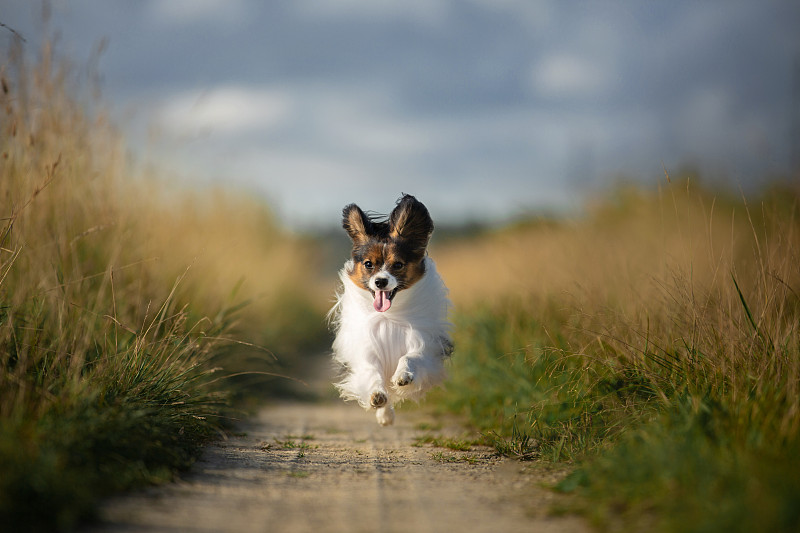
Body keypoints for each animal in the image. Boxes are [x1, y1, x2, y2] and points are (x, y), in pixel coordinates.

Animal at [328, 194, 454, 424]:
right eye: (369, 264)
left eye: (398, 265)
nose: (380, 281)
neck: (389, 314)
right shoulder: (366, 349)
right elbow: (372, 371)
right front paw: (376, 395)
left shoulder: (422, 342)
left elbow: (410, 357)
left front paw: (403, 375)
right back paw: (385, 414)